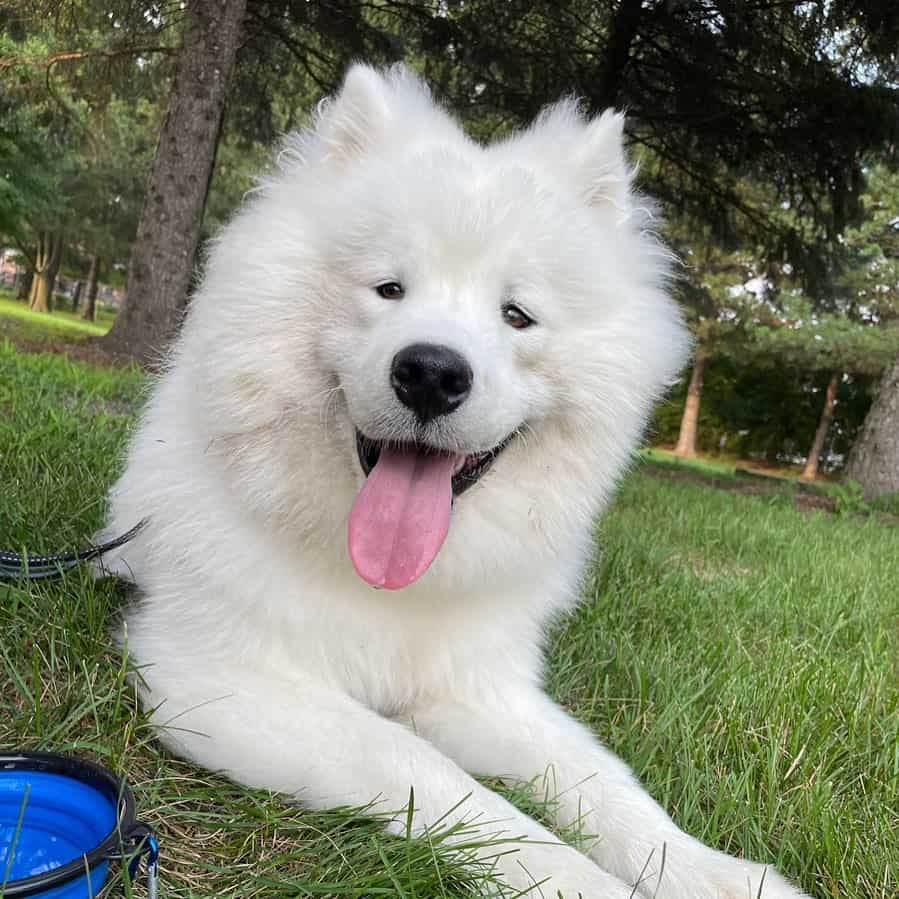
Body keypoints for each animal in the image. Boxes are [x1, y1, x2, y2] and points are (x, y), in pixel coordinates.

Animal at [103, 65, 808, 899]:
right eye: (388, 289)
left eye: (516, 314)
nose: (432, 373)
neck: (395, 587)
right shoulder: (221, 677)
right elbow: (442, 779)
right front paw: (582, 881)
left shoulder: (482, 687)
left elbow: (605, 781)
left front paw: (721, 873)